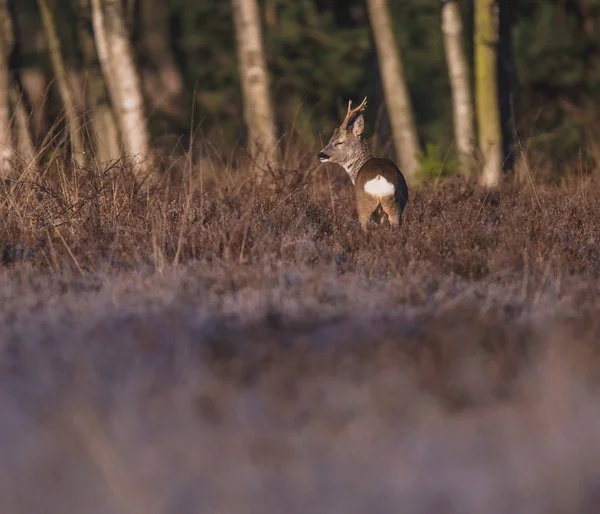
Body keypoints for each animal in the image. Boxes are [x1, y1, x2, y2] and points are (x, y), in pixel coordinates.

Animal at [318, 98, 408, 230]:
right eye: (330, 140)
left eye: (339, 142)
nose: (320, 154)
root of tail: (379, 178)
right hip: (394, 205)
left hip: (364, 204)